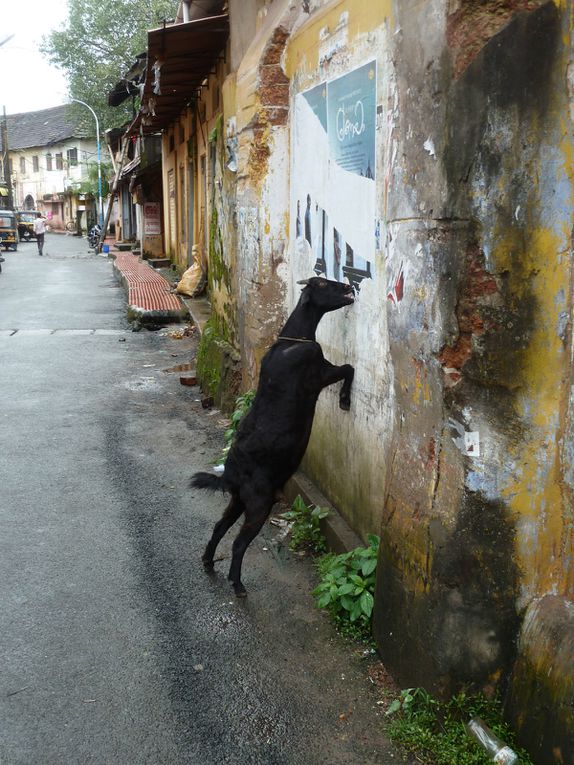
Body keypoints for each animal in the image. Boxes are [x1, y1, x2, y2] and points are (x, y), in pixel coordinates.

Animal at [192, 274, 356, 596]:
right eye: (324, 284)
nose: (348, 288)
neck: (293, 340)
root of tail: (230, 474)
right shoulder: (320, 373)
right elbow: (348, 368)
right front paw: (345, 400)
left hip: (238, 501)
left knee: (219, 526)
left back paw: (207, 560)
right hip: (258, 504)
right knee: (240, 542)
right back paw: (237, 583)